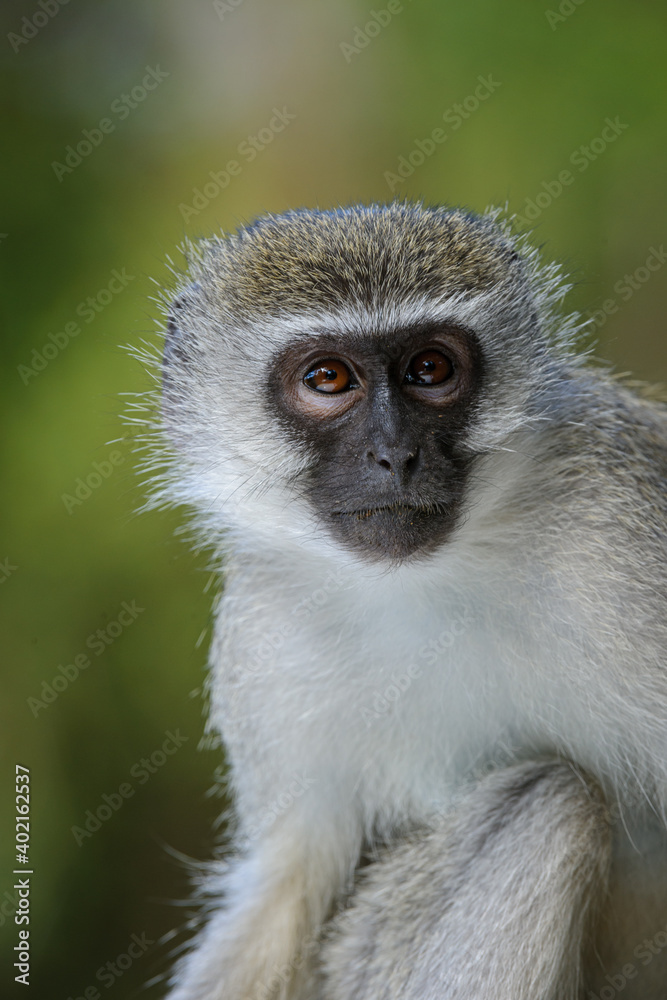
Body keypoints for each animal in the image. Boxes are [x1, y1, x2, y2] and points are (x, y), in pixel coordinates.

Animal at [147, 203, 667, 1000]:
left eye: (431, 370)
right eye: (327, 378)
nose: (395, 456)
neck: (429, 580)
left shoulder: (623, 532)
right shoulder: (263, 631)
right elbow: (284, 900)